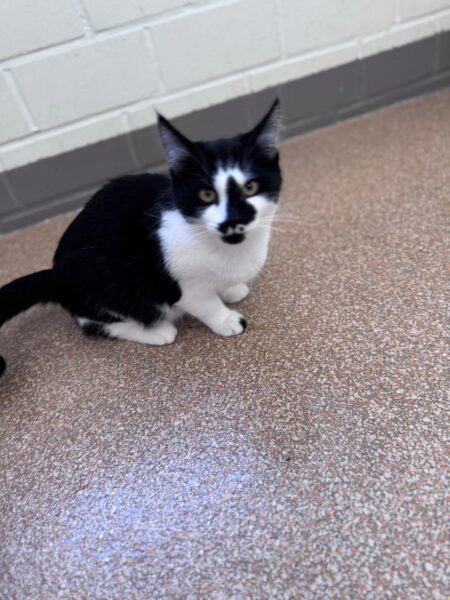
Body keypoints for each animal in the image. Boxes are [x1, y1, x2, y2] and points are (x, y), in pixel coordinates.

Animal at [0, 99, 283, 377]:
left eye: (250, 187)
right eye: (206, 194)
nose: (233, 221)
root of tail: (55, 275)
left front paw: (231, 288)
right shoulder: (183, 284)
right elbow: (205, 303)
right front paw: (226, 319)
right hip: (95, 280)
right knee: (92, 323)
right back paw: (156, 331)